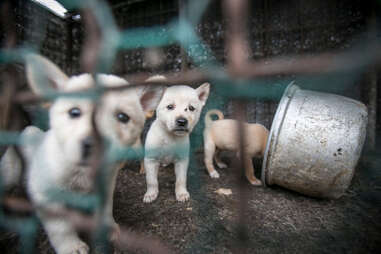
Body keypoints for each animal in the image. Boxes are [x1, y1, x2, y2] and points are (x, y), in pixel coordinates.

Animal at [0, 54, 162, 253]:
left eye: (123, 117)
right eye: (74, 112)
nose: (94, 144)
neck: (83, 174)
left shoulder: (105, 187)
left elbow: (104, 210)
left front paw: (108, 228)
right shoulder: (45, 194)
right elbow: (60, 226)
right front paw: (71, 246)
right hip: (12, 169)